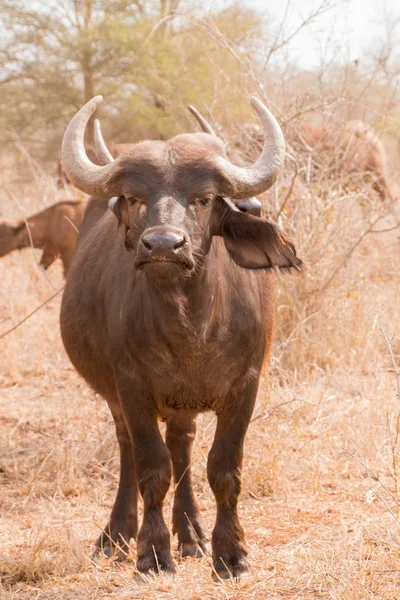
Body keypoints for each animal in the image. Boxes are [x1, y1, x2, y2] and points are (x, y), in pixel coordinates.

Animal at [60, 94, 304, 576]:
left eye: (205, 198)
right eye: (133, 198)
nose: (163, 245)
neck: (192, 326)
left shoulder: (246, 384)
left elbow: (223, 469)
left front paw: (230, 553)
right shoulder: (131, 386)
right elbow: (152, 469)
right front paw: (152, 553)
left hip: (182, 406)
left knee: (183, 448)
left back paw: (190, 533)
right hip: (119, 398)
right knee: (131, 452)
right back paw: (117, 535)